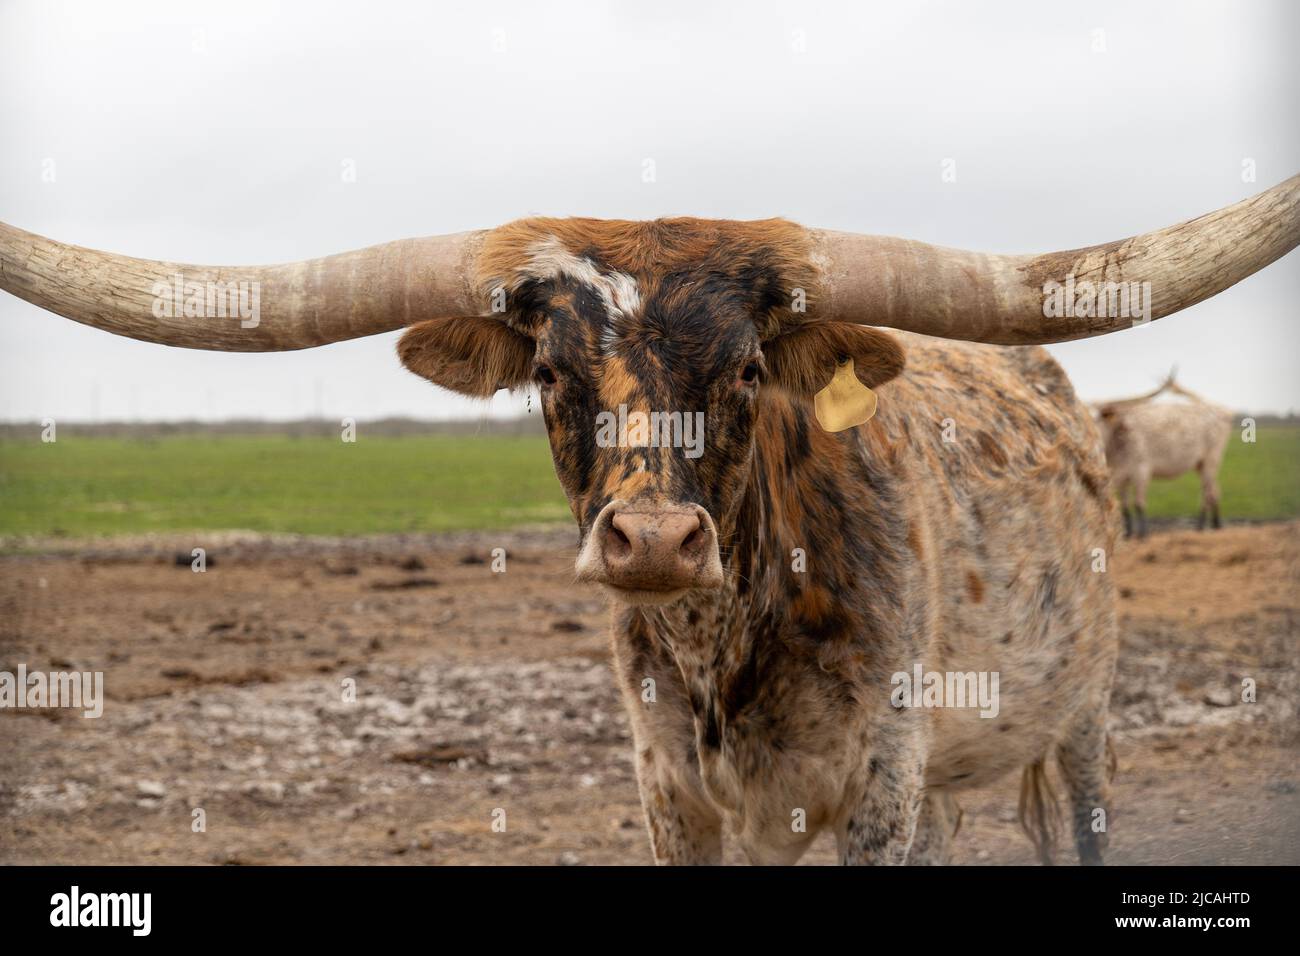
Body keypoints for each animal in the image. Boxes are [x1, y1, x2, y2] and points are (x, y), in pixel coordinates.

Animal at [1097, 379, 1233, 538]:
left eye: (1098, 417)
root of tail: (1222, 410)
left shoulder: (1141, 469)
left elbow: (1138, 503)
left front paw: (1143, 534)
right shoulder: (1121, 474)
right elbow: (1124, 505)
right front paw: (1128, 534)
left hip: (1211, 459)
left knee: (1206, 493)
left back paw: (1200, 527)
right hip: (1201, 464)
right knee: (1215, 490)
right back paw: (1217, 525)